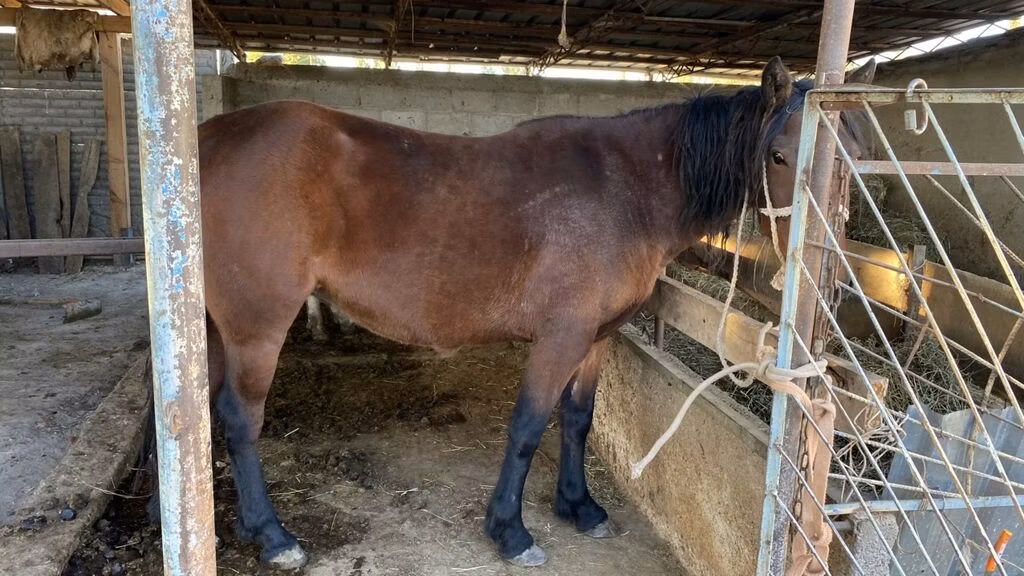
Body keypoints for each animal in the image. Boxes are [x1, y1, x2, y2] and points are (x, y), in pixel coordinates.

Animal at [147, 56, 874, 570]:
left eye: (859, 159)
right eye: (779, 155)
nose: (835, 274)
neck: (625, 189)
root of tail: (204, 142)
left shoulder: (595, 338)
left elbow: (577, 421)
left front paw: (580, 507)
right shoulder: (559, 337)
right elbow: (528, 427)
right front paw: (510, 530)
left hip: (216, 328)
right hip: (256, 327)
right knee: (240, 419)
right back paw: (274, 536)